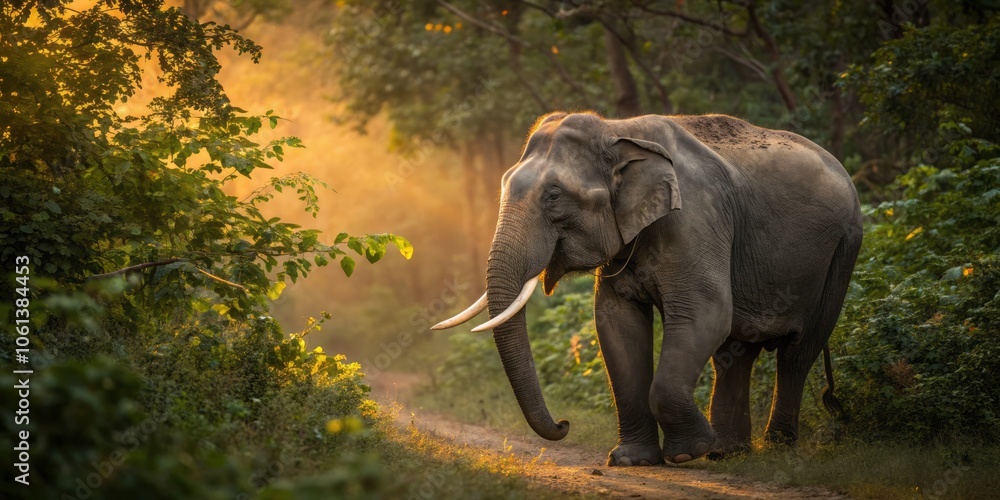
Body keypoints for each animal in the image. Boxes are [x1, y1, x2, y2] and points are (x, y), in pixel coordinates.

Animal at [432, 112, 862, 466]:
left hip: (842, 252)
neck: (619, 131)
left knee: (796, 354)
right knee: (736, 354)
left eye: (554, 195)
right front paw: (632, 460)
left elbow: (705, 315)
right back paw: (727, 452)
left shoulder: (694, 219)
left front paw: (688, 453)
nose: (564, 424)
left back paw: (773, 448)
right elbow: (616, 323)